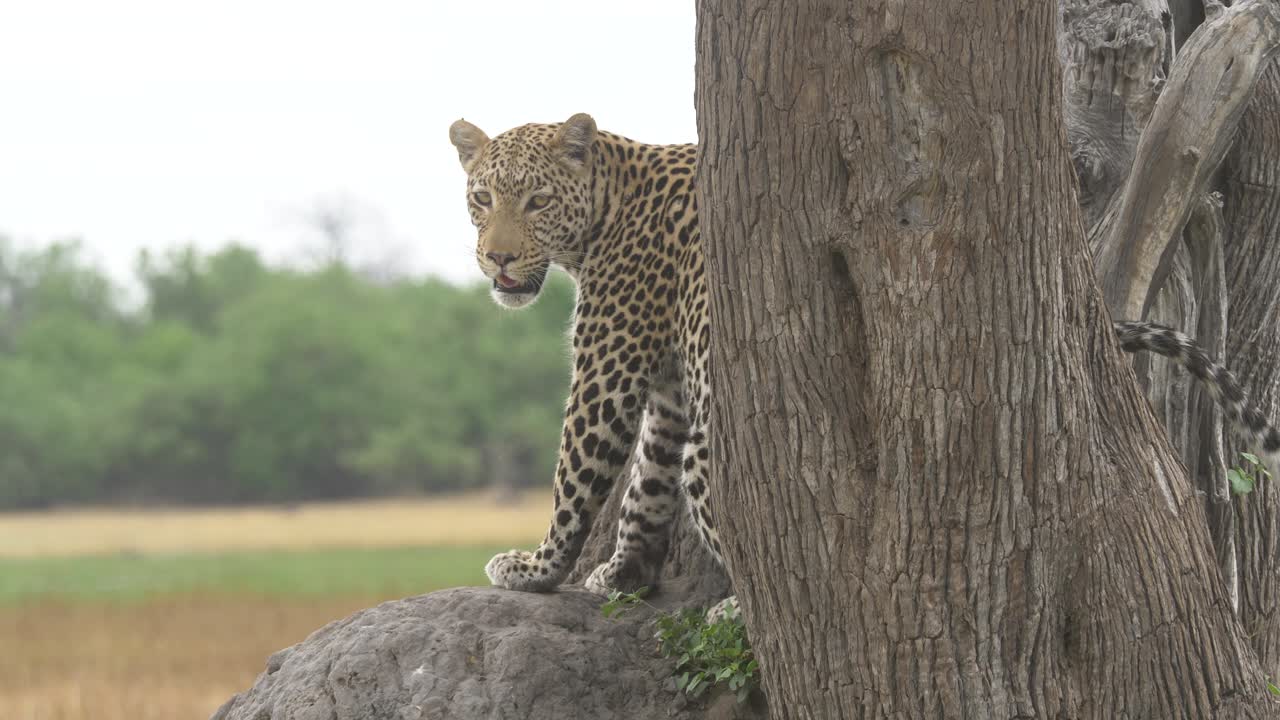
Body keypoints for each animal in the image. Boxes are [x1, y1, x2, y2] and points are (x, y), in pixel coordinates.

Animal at [449, 112, 1280, 602]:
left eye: (535, 201)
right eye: (482, 198)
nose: (497, 260)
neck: (608, 205)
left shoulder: (608, 364)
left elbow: (578, 471)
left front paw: (537, 568)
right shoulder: (672, 384)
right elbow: (644, 484)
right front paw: (621, 571)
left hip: (724, 451)